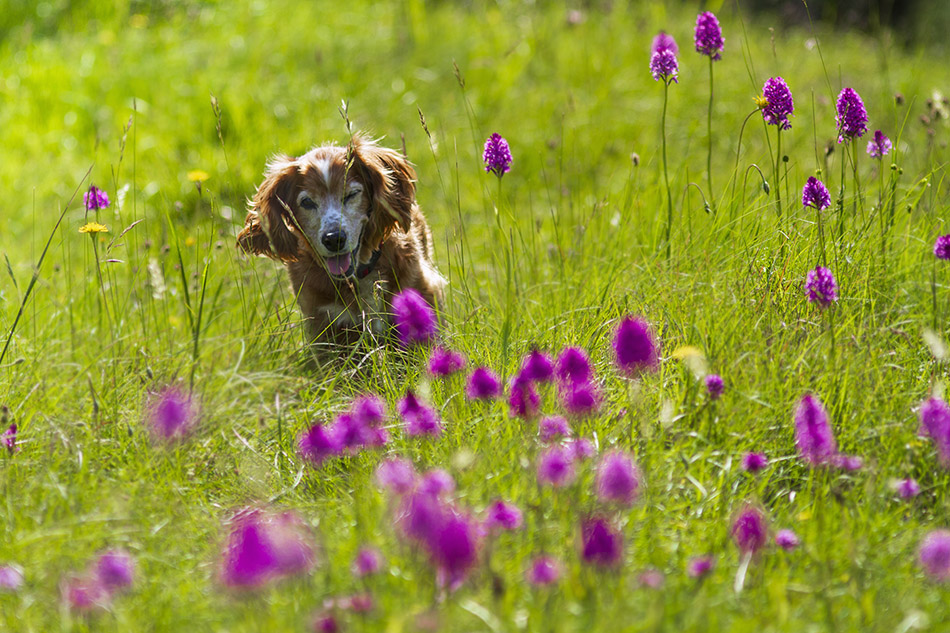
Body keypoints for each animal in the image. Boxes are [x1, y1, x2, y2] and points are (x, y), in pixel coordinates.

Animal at [238, 132, 446, 340]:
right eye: (307, 202)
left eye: (351, 194)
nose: (333, 239)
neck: (357, 277)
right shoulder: (322, 324)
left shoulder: (423, 293)